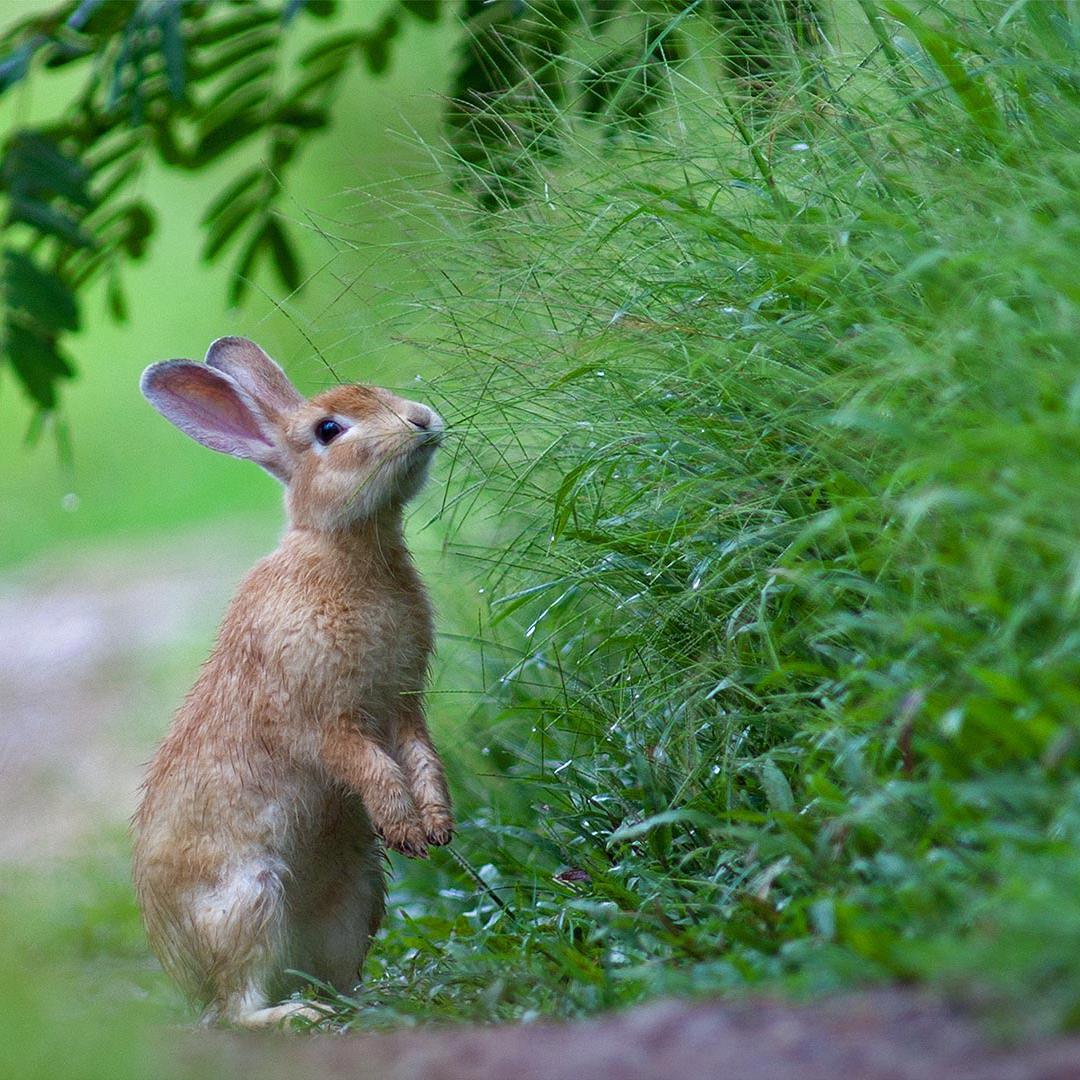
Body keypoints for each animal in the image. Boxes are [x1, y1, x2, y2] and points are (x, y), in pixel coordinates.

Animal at [130, 336, 451, 1028]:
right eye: (328, 430)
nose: (421, 419)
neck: (343, 549)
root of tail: (183, 973)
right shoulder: (325, 719)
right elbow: (370, 768)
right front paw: (408, 829)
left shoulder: (403, 705)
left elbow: (421, 759)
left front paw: (437, 827)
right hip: (250, 901)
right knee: (238, 1008)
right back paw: (298, 1016)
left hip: (356, 893)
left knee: (334, 975)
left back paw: (364, 999)